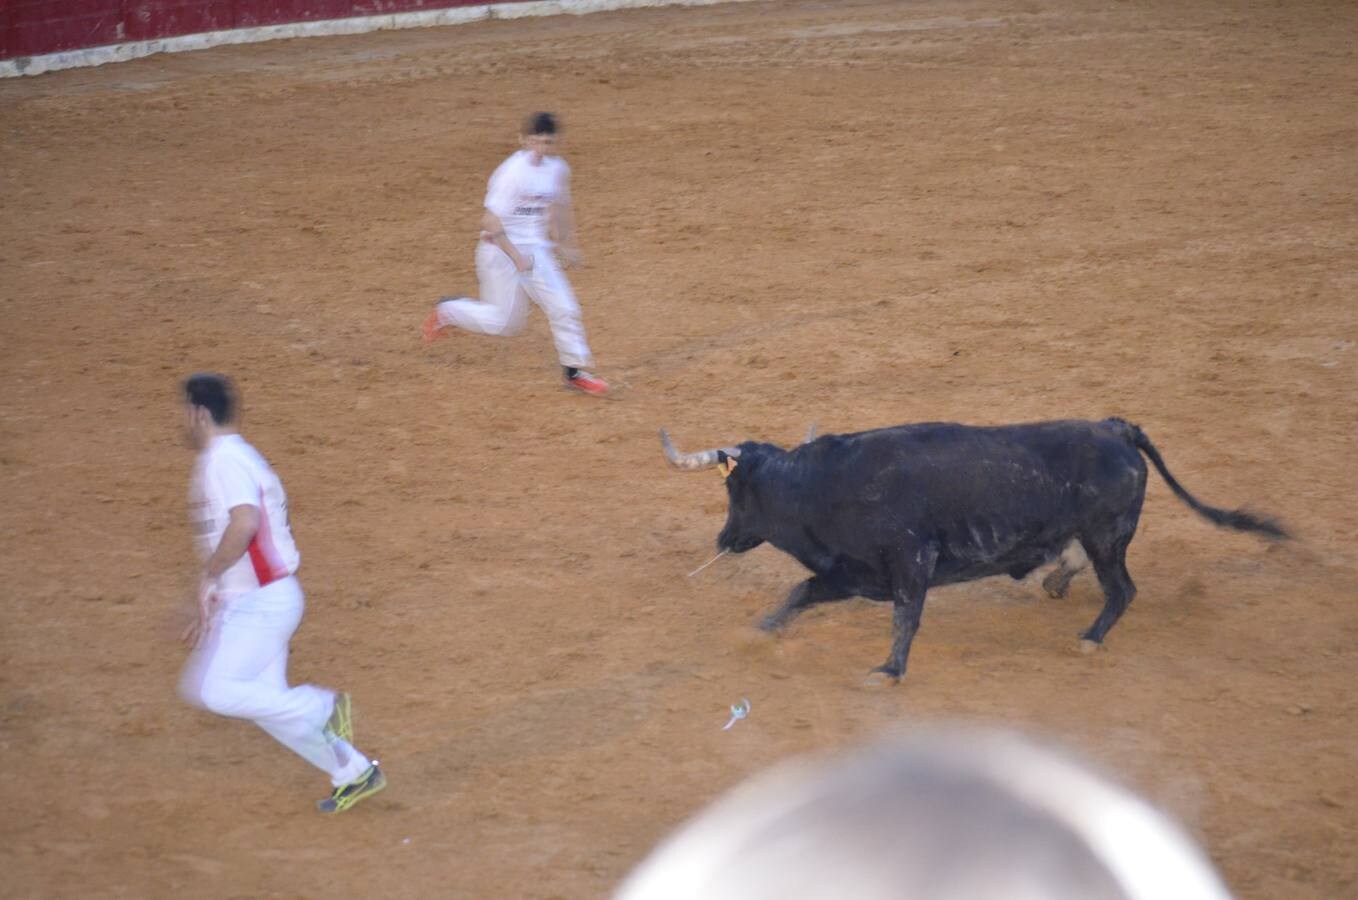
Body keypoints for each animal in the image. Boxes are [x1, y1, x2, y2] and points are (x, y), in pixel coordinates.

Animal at [662, 423, 1287, 684]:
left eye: (733, 490)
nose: (723, 540)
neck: (820, 485)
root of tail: (1116, 427)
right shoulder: (850, 573)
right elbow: (799, 592)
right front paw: (760, 631)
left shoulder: (910, 560)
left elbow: (906, 617)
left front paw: (888, 670)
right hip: (1094, 533)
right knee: (1084, 564)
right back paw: (1057, 582)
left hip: (1108, 535)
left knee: (1122, 589)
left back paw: (1089, 637)